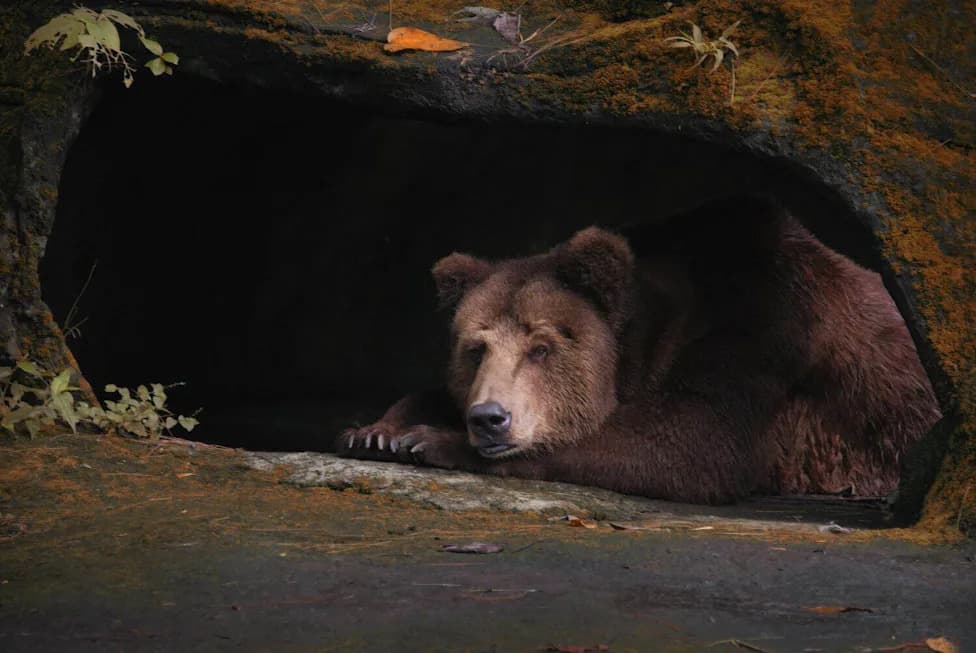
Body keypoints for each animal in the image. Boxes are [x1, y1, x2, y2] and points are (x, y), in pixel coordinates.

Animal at [336, 196, 941, 503]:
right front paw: (377, 430)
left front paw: (429, 440)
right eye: (474, 348)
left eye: (541, 346)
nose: (489, 418)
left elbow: (687, 443)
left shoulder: (765, 333)